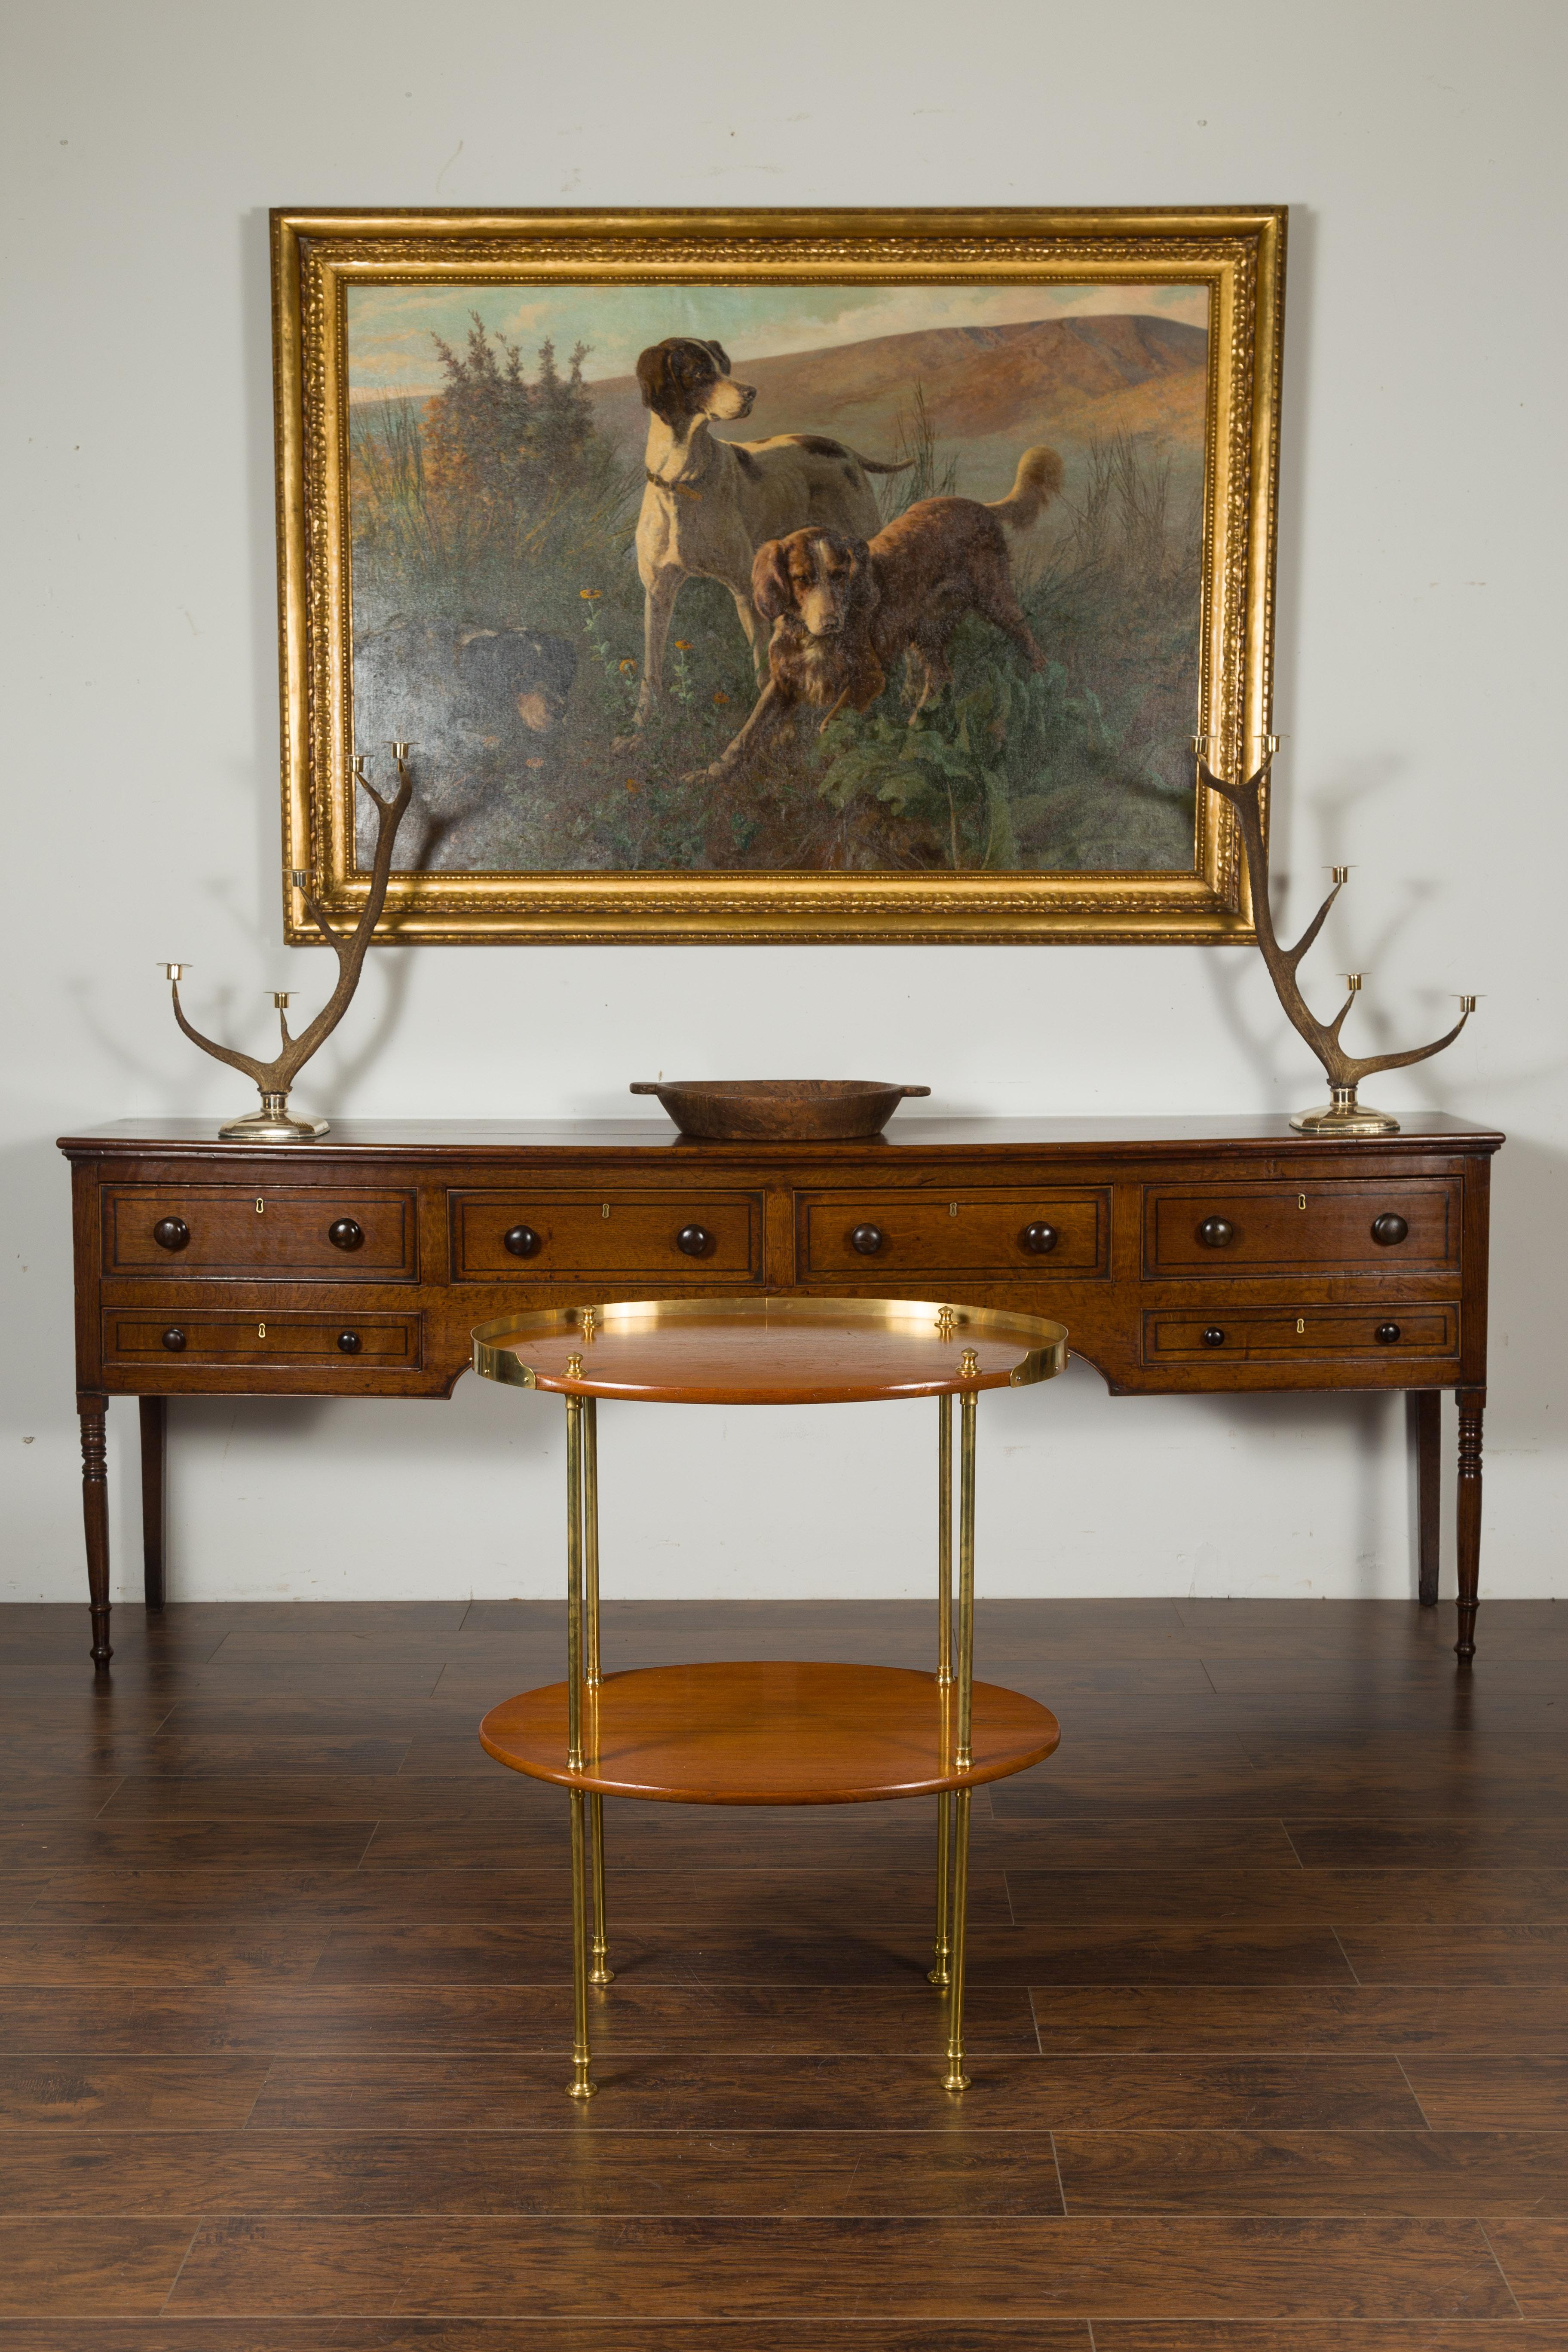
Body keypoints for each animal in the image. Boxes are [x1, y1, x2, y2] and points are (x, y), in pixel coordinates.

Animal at [630, 336, 912, 729]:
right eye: (700, 372)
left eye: (724, 367)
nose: (751, 393)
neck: (683, 481)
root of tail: (842, 448)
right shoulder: (658, 594)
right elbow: (651, 665)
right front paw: (642, 721)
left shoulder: (744, 592)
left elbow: (761, 665)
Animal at [710, 442, 1067, 771]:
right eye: (802, 579)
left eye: (840, 574)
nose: (831, 622)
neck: (810, 637)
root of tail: (980, 506)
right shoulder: (784, 681)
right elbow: (751, 729)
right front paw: (715, 771)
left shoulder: (868, 678)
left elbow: (829, 725)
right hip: (926, 630)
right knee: (940, 676)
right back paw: (915, 725)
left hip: (997, 602)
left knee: (1029, 646)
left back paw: (1045, 687)